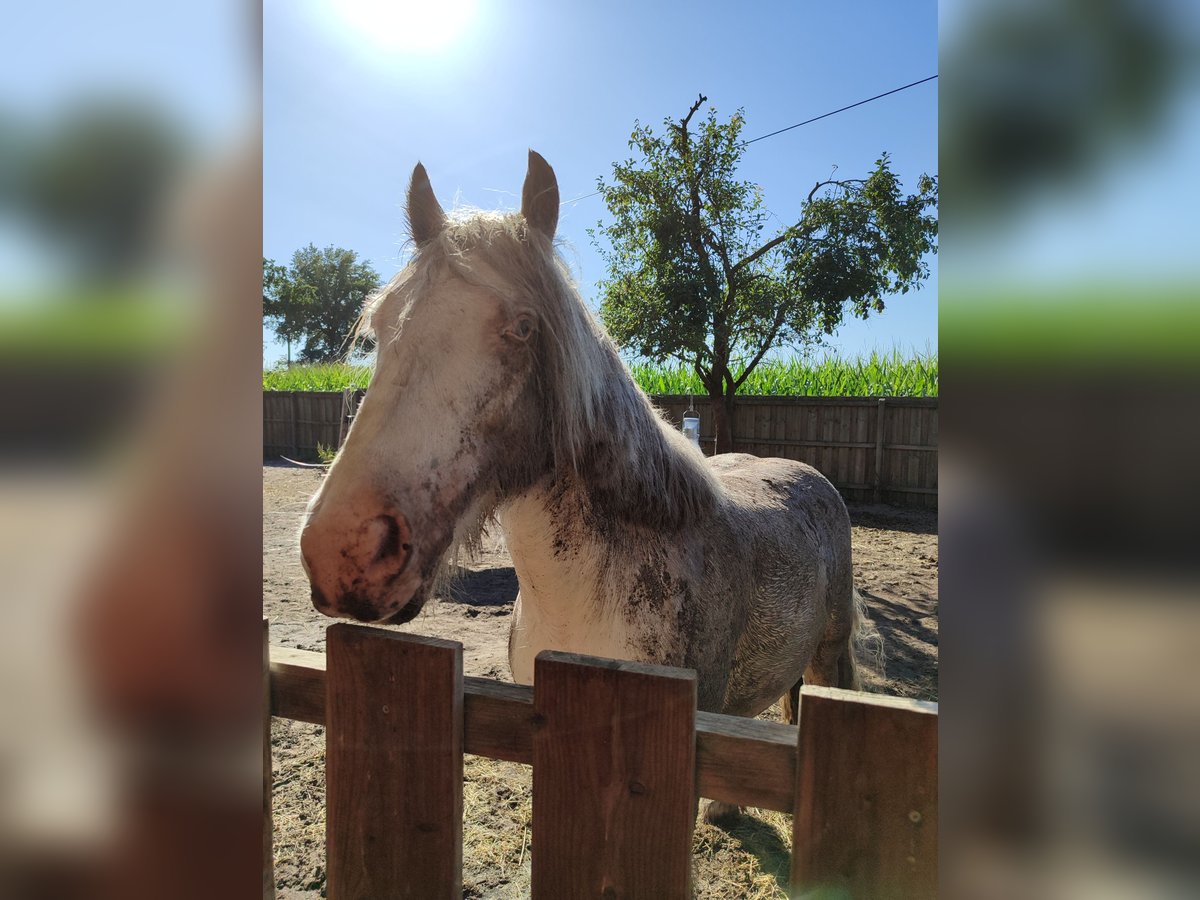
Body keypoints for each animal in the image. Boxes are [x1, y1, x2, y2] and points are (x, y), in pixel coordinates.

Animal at [302, 153, 873, 816]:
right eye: (382, 323)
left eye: (524, 327)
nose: (344, 551)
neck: (581, 596)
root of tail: (811, 479)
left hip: (829, 659)